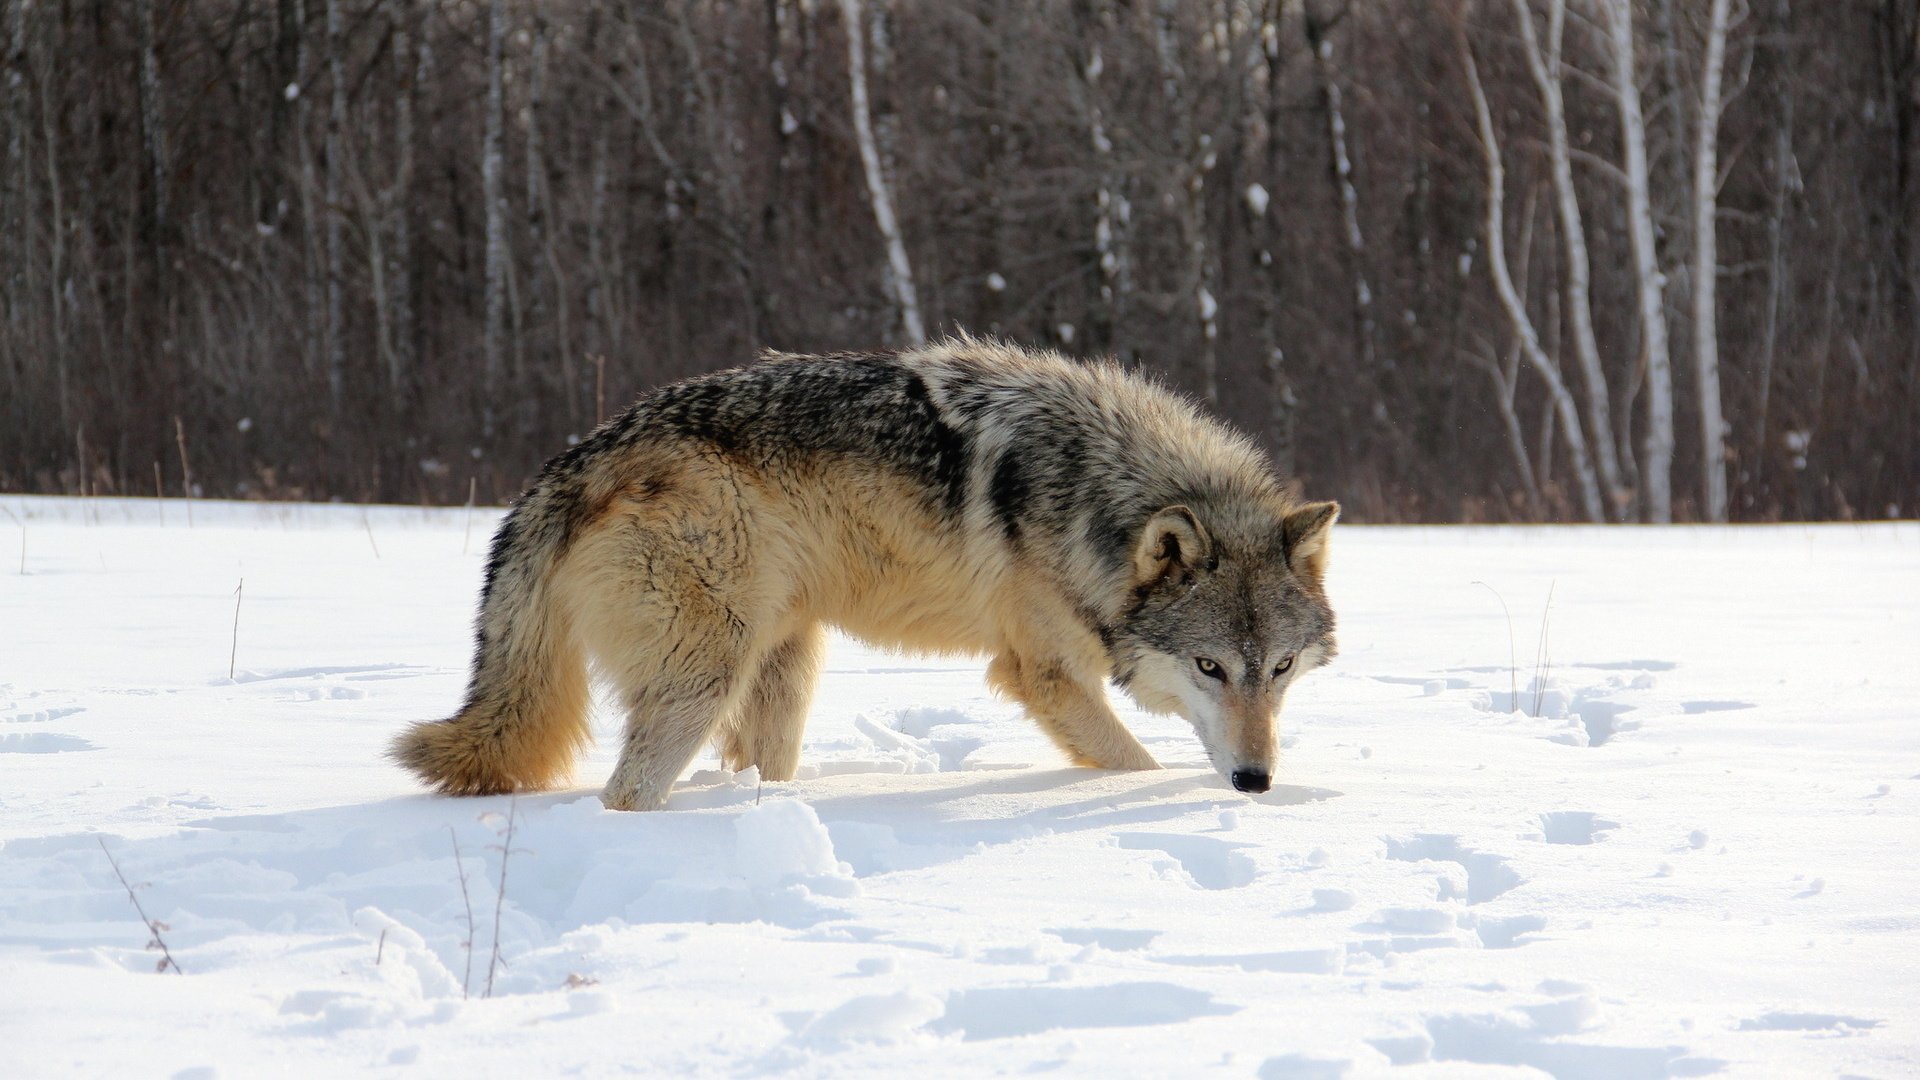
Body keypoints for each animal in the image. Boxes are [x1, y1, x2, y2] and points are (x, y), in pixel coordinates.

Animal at [389, 336, 1336, 807]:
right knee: (624, 795)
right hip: (704, 678)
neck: (1090, 493)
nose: (1256, 783)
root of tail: (572, 462)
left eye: (1281, 668)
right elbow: (1135, 763)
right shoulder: (1046, 675)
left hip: (786, 662)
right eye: (1210, 667)